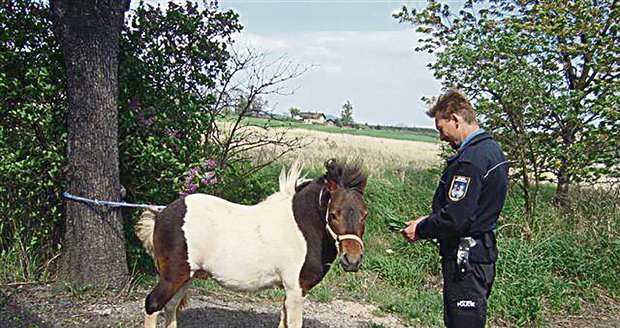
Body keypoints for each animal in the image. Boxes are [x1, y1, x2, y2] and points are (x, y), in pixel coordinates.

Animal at [134, 158, 368, 326]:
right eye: (334, 214)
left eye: (365, 214)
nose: (352, 260)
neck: (302, 228)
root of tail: (160, 216)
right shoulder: (295, 289)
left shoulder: (289, 292)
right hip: (173, 275)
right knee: (153, 304)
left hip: (185, 277)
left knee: (171, 307)